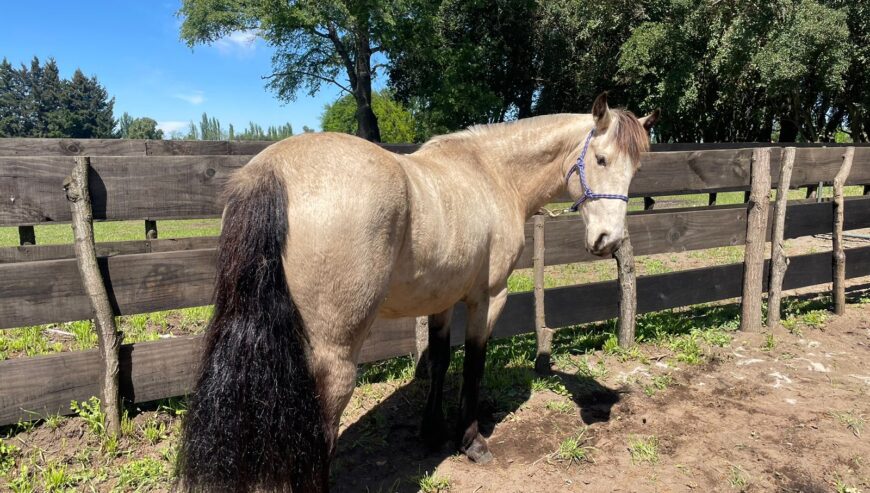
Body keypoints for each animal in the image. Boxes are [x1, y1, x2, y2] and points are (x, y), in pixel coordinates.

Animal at [179, 93, 660, 492]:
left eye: (636, 169)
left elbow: (441, 359)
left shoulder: (441, 299)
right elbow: (473, 365)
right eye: (600, 159)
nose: (608, 241)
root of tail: (272, 173)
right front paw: (471, 441)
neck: (492, 173)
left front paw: (431, 432)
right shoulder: (489, 298)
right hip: (333, 358)